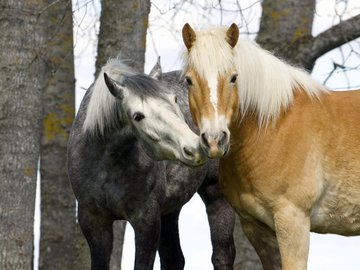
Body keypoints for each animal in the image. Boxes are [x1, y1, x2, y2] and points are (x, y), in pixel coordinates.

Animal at [67, 59, 236, 270]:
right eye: (138, 116)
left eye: (174, 100)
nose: (195, 148)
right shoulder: (93, 222)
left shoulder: (146, 220)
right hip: (170, 209)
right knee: (174, 258)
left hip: (216, 196)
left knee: (222, 255)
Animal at [181, 23, 360, 270]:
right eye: (189, 80)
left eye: (234, 78)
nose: (215, 139)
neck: (274, 127)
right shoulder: (257, 229)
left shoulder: (293, 221)